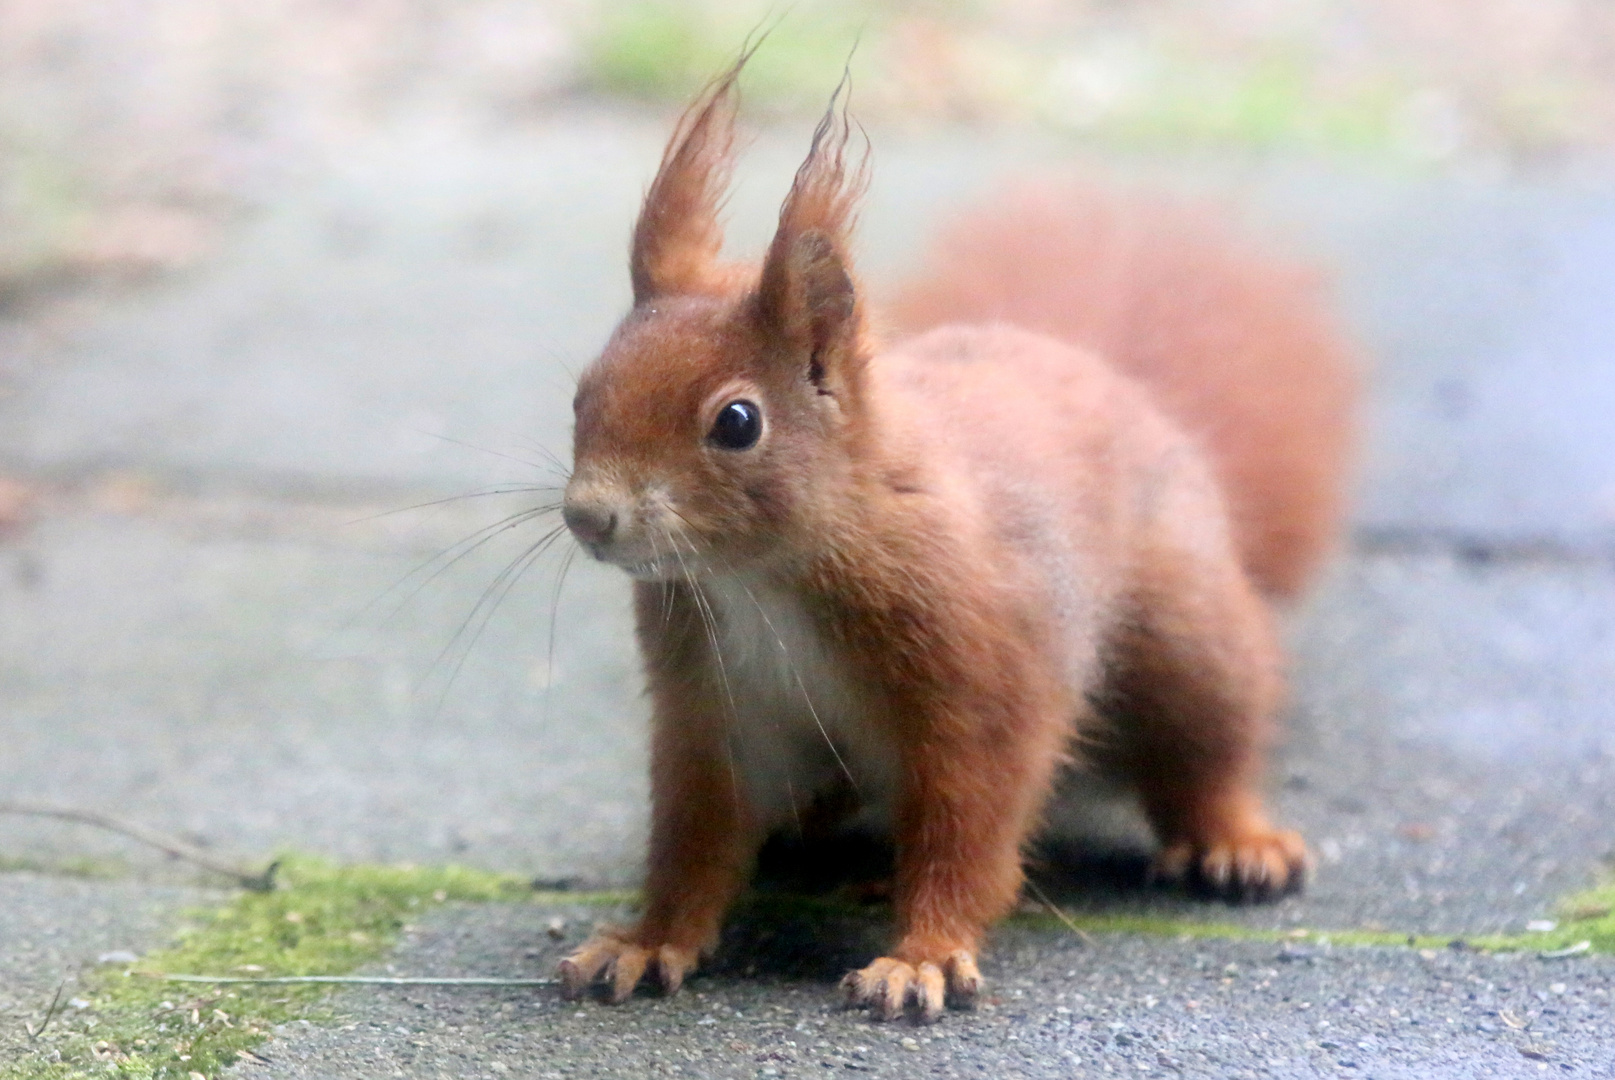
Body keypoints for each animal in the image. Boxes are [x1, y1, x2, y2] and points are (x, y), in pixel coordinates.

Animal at [555, 58, 1350, 1020]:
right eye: (583, 394)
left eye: (736, 422)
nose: (588, 515)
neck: (760, 580)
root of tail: (1104, 373)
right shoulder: (713, 711)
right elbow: (694, 837)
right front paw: (645, 941)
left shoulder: (980, 682)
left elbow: (965, 833)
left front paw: (922, 957)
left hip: (1186, 638)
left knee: (1207, 750)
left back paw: (1235, 843)